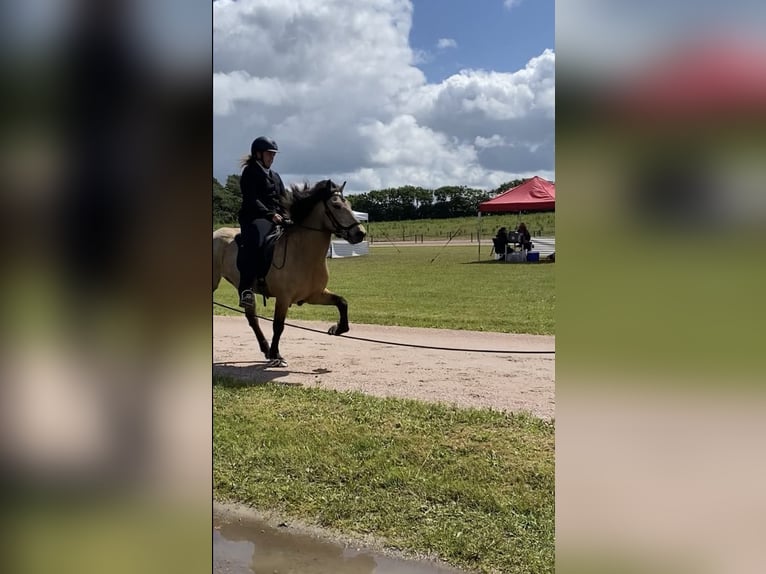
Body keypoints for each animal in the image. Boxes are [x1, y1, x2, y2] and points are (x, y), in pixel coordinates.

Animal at [212, 180, 368, 368]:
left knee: (252, 318)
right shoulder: (283, 298)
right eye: (336, 205)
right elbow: (278, 326)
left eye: (350, 205)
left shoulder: (315, 295)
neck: (302, 253)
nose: (360, 233)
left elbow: (342, 302)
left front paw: (337, 329)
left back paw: (265, 349)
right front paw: (277, 355)